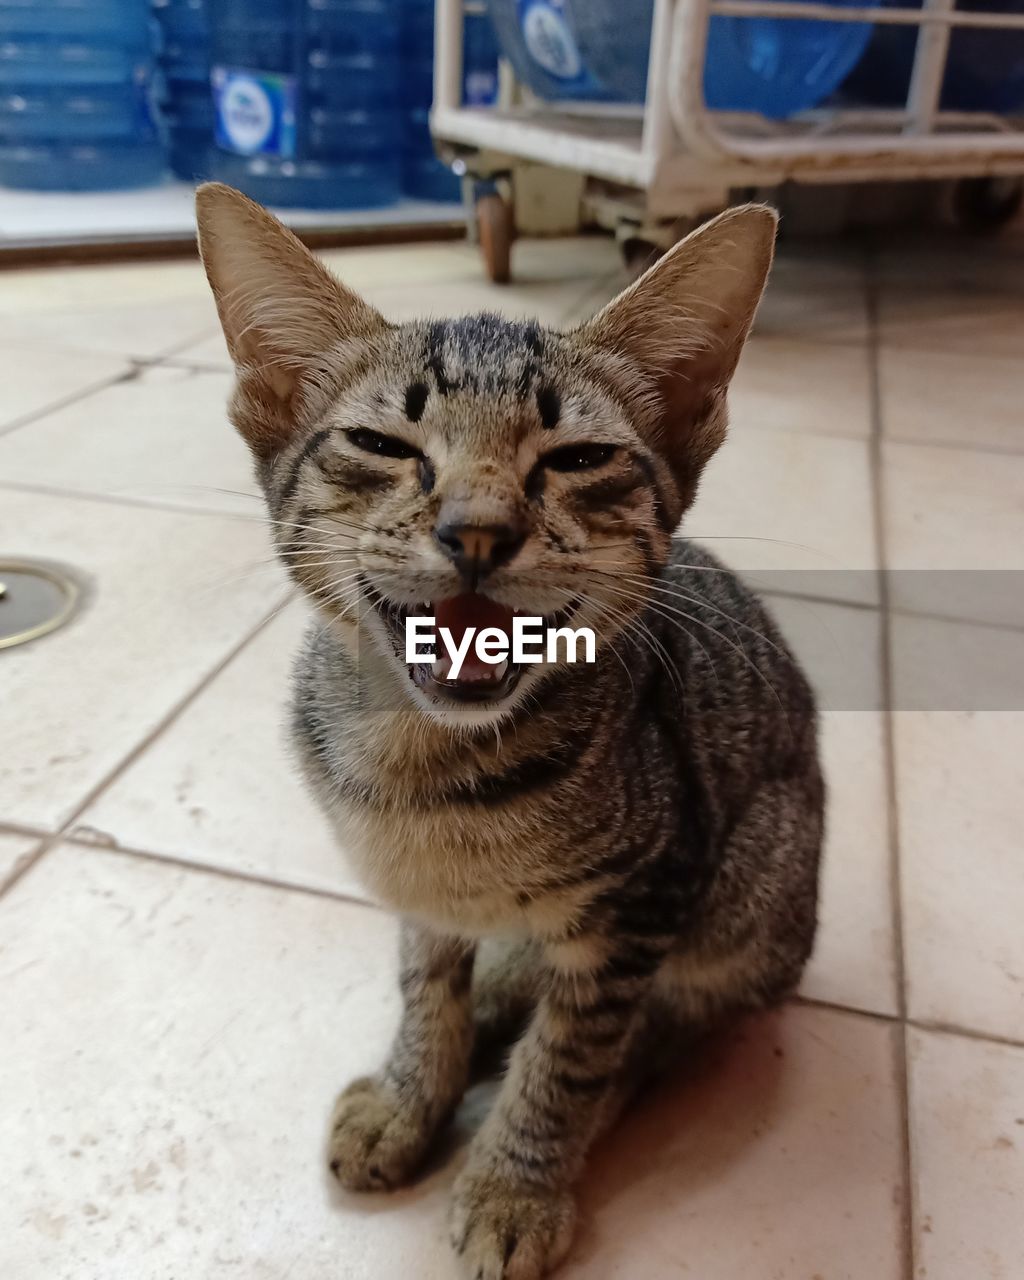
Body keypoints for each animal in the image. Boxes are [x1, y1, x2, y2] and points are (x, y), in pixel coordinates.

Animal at [198, 183, 824, 1280]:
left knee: (660, 1030)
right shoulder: (418, 896)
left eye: (578, 457)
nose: (479, 531)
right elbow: (424, 985)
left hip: (753, 881)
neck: (423, 768)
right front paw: (413, 1090)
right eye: (384, 446)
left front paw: (514, 1181)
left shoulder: (651, 893)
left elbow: (569, 1059)